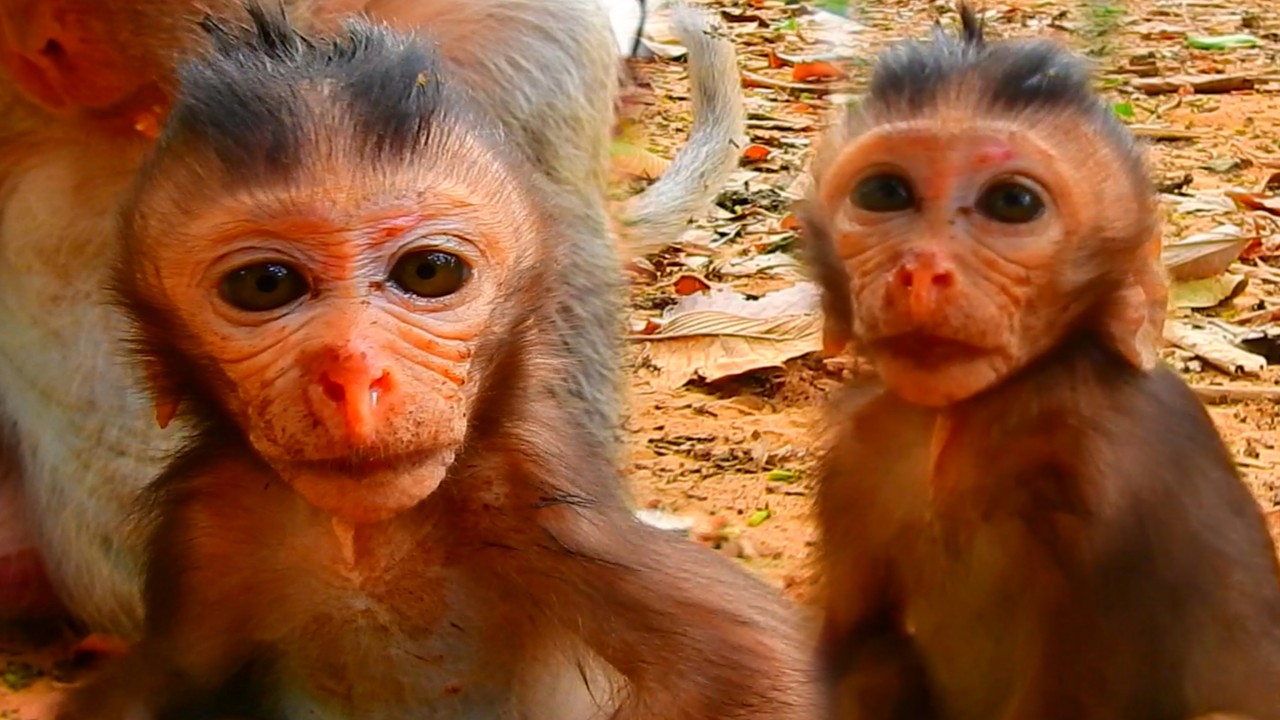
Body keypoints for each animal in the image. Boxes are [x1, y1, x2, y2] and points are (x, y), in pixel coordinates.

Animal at [46, 8, 816, 718]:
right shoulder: (206, 524)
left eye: (430, 272)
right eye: (264, 284)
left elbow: (759, 670)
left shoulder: (539, 492)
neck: (361, 543)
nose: (354, 378)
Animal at [798, 5, 1280, 718]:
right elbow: (846, 648)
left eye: (1012, 203)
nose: (921, 271)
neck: (971, 420)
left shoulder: (1114, 462)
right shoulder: (857, 455)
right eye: (885, 192)